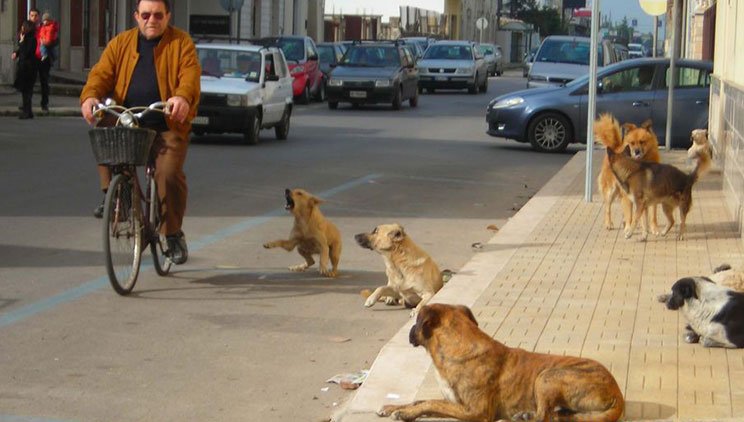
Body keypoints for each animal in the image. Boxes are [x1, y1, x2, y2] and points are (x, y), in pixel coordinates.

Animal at [374, 304, 624, 420]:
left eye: (416, 320)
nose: (409, 332)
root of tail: (617, 393)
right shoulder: (454, 402)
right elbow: (422, 400)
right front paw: (394, 407)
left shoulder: (476, 411)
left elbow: (429, 404)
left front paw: (405, 414)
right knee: (557, 416)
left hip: (548, 375)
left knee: (543, 416)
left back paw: (525, 417)